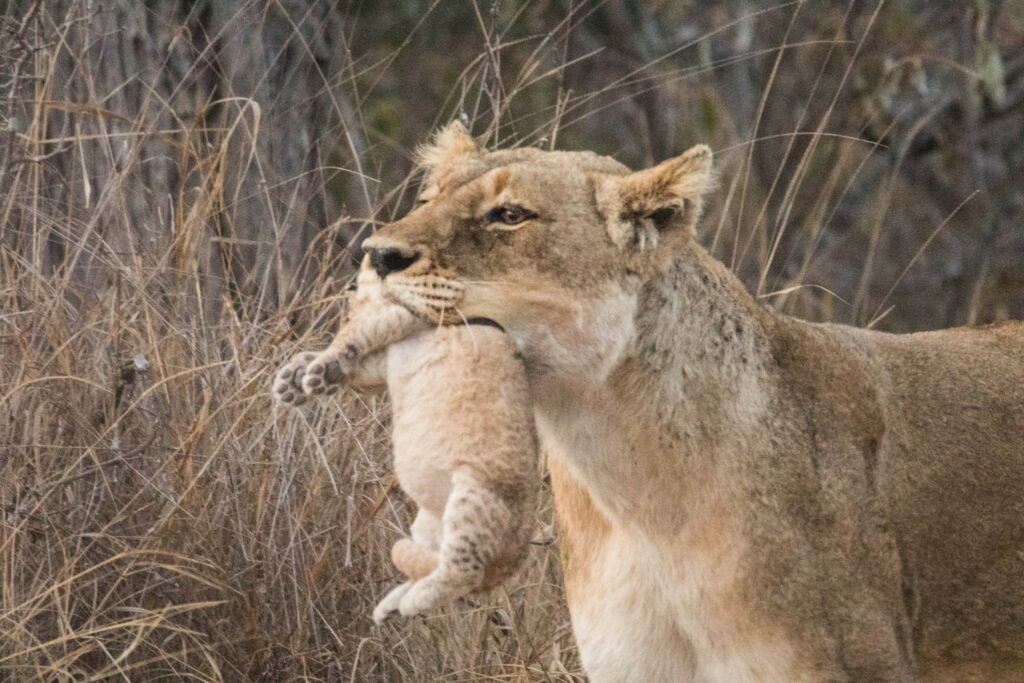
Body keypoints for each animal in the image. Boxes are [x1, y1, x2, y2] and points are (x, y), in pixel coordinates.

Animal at [274, 265, 538, 623]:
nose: (351, 284)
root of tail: (516, 558)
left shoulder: (412, 313)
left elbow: (356, 335)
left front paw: (318, 371)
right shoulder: (388, 350)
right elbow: (359, 355)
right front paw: (297, 377)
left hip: (477, 497)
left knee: (464, 572)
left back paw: (415, 601)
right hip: (429, 522)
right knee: (432, 564)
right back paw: (391, 606)